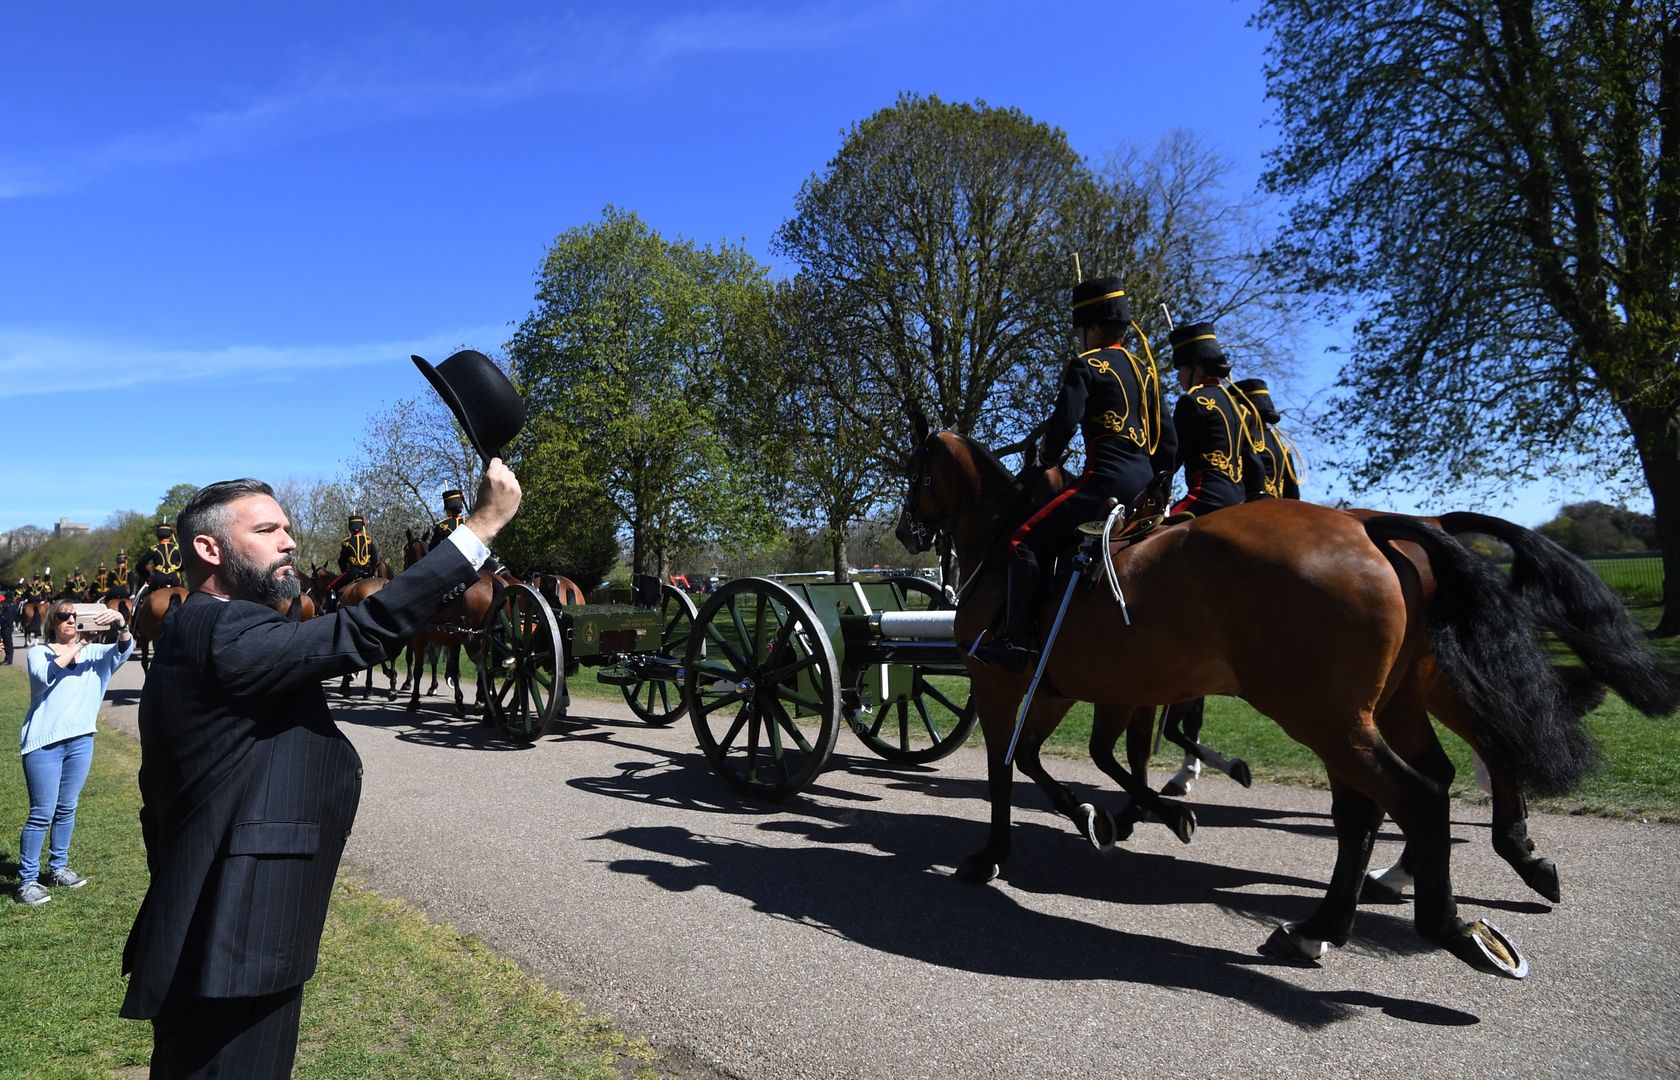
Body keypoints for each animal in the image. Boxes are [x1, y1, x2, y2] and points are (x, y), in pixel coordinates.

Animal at [893, 426, 1585, 987]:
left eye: (915, 470)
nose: (905, 531)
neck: (1003, 539)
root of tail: (1371, 529)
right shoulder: (1064, 688)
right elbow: (1052, 759)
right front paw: (1109, 814)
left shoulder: (1002, 683)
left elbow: (1009, 769)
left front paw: (995, 854)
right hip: (1371, 710)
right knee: (1384, 802)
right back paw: (1330, 922)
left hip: (1329, 717)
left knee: (1416, 794)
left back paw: (1447, 924)